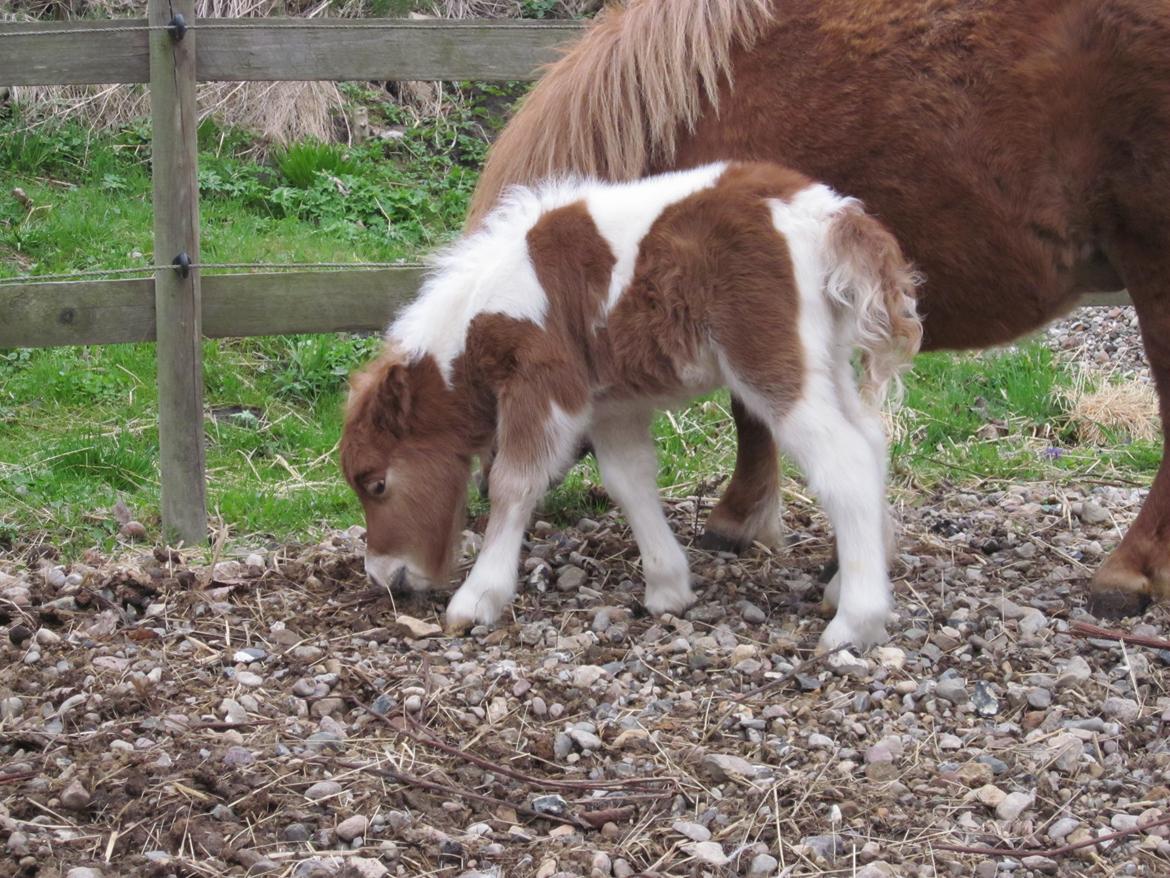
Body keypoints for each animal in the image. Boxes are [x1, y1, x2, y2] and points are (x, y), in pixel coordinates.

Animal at [341, 161, 921, 650]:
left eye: (377, 484)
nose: (383, 577)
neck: (486, 305)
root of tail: (828, 216)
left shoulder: (544, 383)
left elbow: (515, 482)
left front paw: (477, 598)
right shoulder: (610, 402)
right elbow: (629, 479)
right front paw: (667, 589)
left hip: (768, 359)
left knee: (845, 461)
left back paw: (856, 622)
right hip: (827, 359)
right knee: (871, 442)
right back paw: (845, 584)